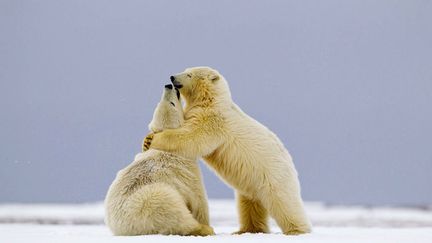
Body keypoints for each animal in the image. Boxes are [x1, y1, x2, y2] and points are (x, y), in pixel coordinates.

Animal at [104, 84, 213, 236]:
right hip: (154, 200)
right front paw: (206, 223)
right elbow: (198, 198)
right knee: (175, 213)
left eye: (159, 102)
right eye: (172, 103)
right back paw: (203, 228)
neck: (165, 149)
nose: (168, 85)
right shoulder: (187, 170)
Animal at [147, 67, 312, 234]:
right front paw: (147, 140)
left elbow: (193, 136)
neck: (212, 100)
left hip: (273, 175)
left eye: (189, 74)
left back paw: (296, 230)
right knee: (249, 203)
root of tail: (290, 161)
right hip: (251, 182)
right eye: (186, 70)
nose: (172, 77)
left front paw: (153, 140)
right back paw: (245, 229)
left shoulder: (214, 119)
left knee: (284, 202)